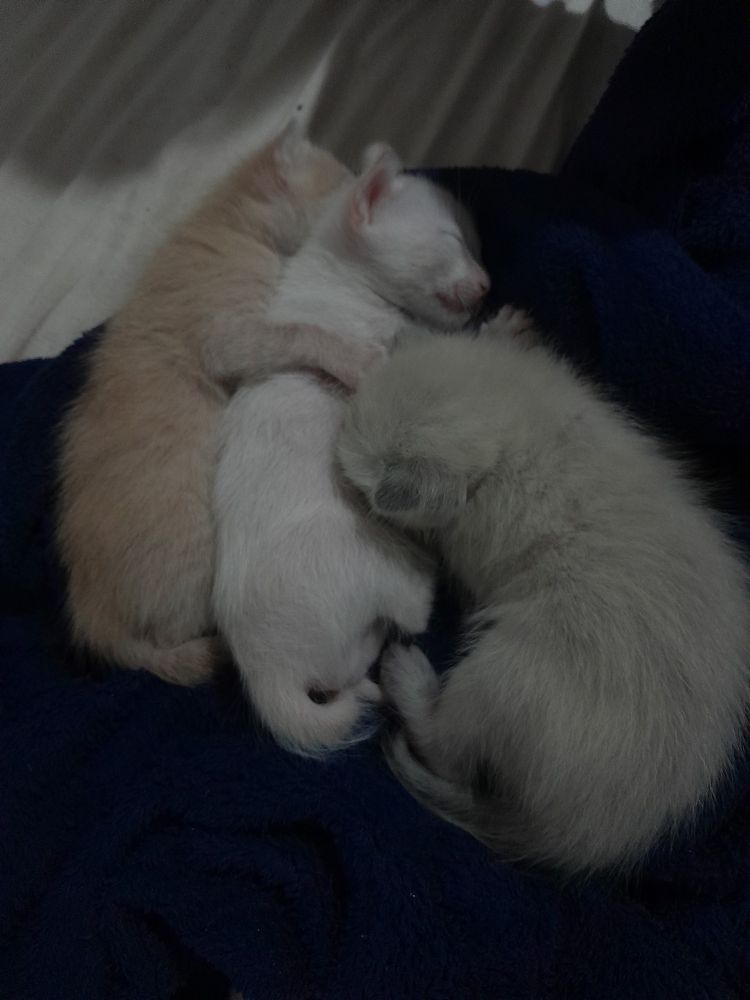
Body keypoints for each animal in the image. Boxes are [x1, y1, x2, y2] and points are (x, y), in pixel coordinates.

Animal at [57, 124, 378, 685]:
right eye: (342, 187)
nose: (362, 202)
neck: (229, 225)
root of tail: (94, 613)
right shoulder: (229, 337)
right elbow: (301, 332)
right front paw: (354, 358)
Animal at [212, 144, 489, 753]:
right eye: (453, 240)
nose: (487, 284)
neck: (339, 272)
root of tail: (266, 673)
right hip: (365, 551)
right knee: (412, 609)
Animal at [336, 306, 750, 873]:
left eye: (356, 486)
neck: (511, 424)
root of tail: (582, 835)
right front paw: (503, 328)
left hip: (505, 676)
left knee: (450, 751)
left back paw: (408, 676)